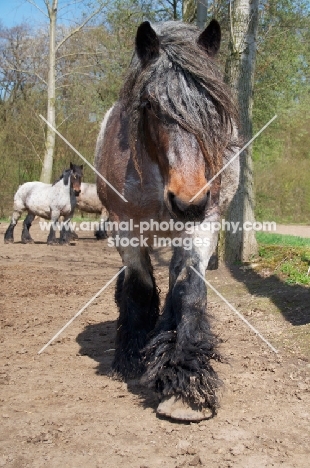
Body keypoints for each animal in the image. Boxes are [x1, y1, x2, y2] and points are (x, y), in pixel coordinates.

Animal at [96, 20, 240, 422]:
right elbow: (139, 286)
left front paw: (184, 383)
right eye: (149, 104)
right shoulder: (125, 229)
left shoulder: (203, 223)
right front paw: (131, 357)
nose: (188, 200)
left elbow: (188, 289)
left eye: (215, 105)